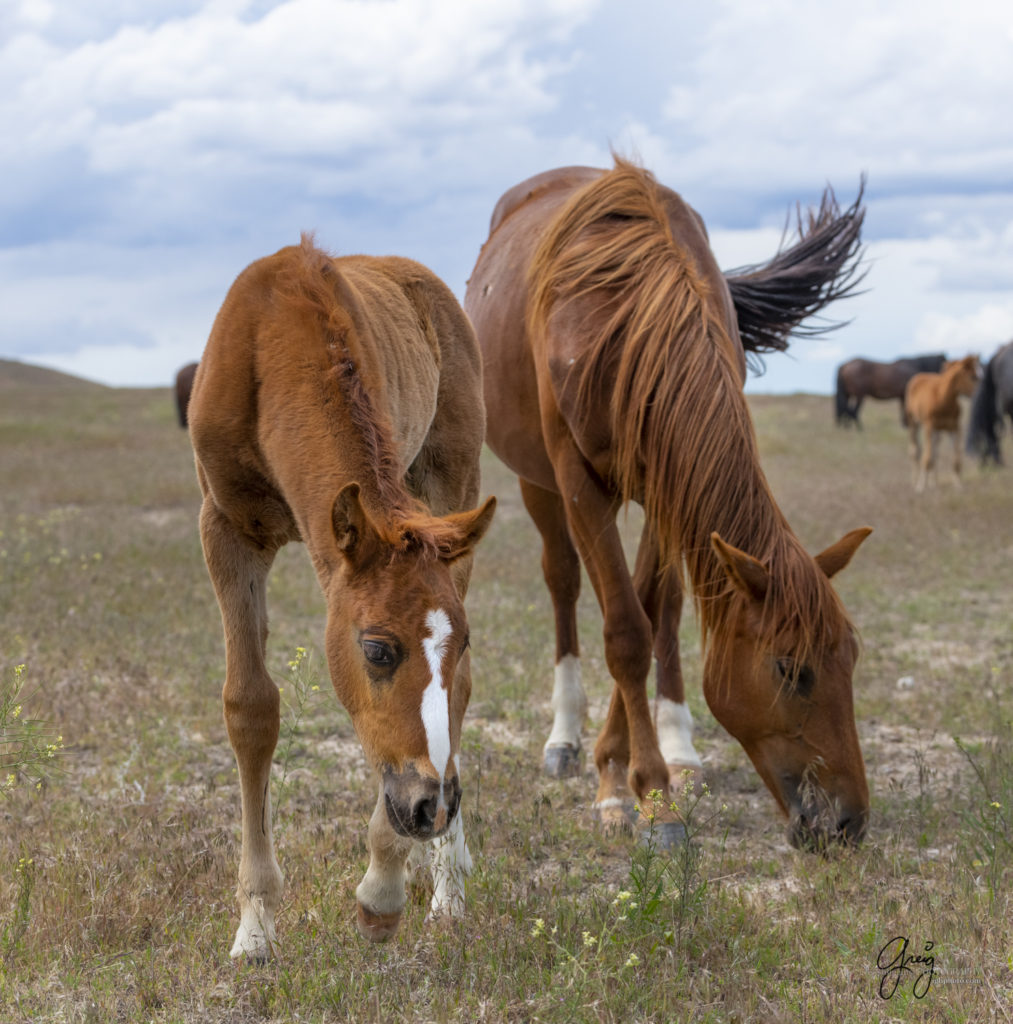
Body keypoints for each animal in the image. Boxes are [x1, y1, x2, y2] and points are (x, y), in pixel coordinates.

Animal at [187, 235, 495, 954]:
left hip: (454, 490)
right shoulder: (225, 530)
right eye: (377, 651)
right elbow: (250, 709)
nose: (431, 806)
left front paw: (382, 888)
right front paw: (255, 928)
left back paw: (445, 883)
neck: (272, 345)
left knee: (461, 697)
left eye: (464, 639)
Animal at [467, 159, 868, 847]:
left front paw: (637, 768)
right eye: (791, 670)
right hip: (536, 481)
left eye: (852, 657)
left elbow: (649, 608)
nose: (848, 822)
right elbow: (625, 630)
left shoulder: (665, 483)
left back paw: (679, 746)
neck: (627, 323)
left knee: (672, 603)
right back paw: (563, 737)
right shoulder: (577, 480)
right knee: (563, 582)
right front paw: (639, 793)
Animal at [901, 356, 979, 491]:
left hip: (939, 430)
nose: (977, 395)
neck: (942, 398)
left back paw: (934, 483)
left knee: (935, 454)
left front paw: (959, 486)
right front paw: (921, 486)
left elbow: (956, 460)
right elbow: (926, 458)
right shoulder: (929, 426)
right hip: (913, 422)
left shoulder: (955, 428)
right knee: (915, 451)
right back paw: (915, 481)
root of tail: (918, 377)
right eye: (973, 377)